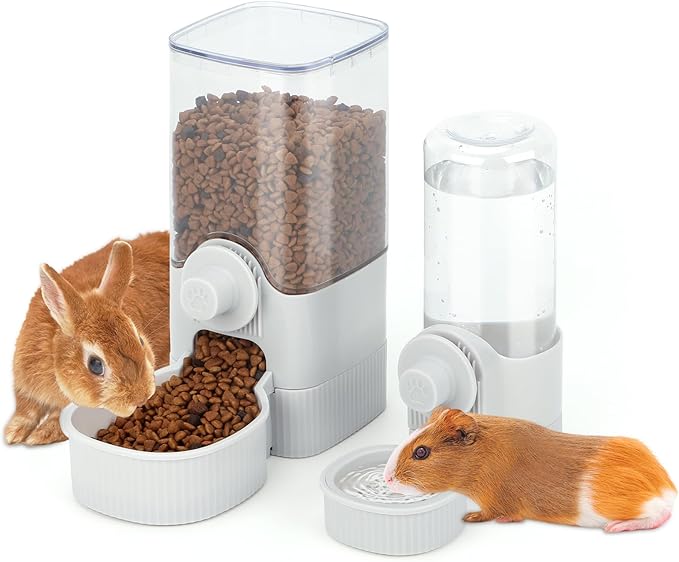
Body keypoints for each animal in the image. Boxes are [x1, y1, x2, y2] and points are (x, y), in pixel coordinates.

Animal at [5, 231, 170, 446]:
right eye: (95, 365)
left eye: (141, 341)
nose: (141, 398)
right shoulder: (25, 385)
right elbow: (25, 409)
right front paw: (13, 433)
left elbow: (57, 418)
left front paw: (40, 435)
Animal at [384, 407, 675, 533]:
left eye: (421, 452)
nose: (387, 479)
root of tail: (664, 485)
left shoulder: (493, 502)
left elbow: (494, 515)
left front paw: (471, 518)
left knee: (659, 515)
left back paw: (615, 528)